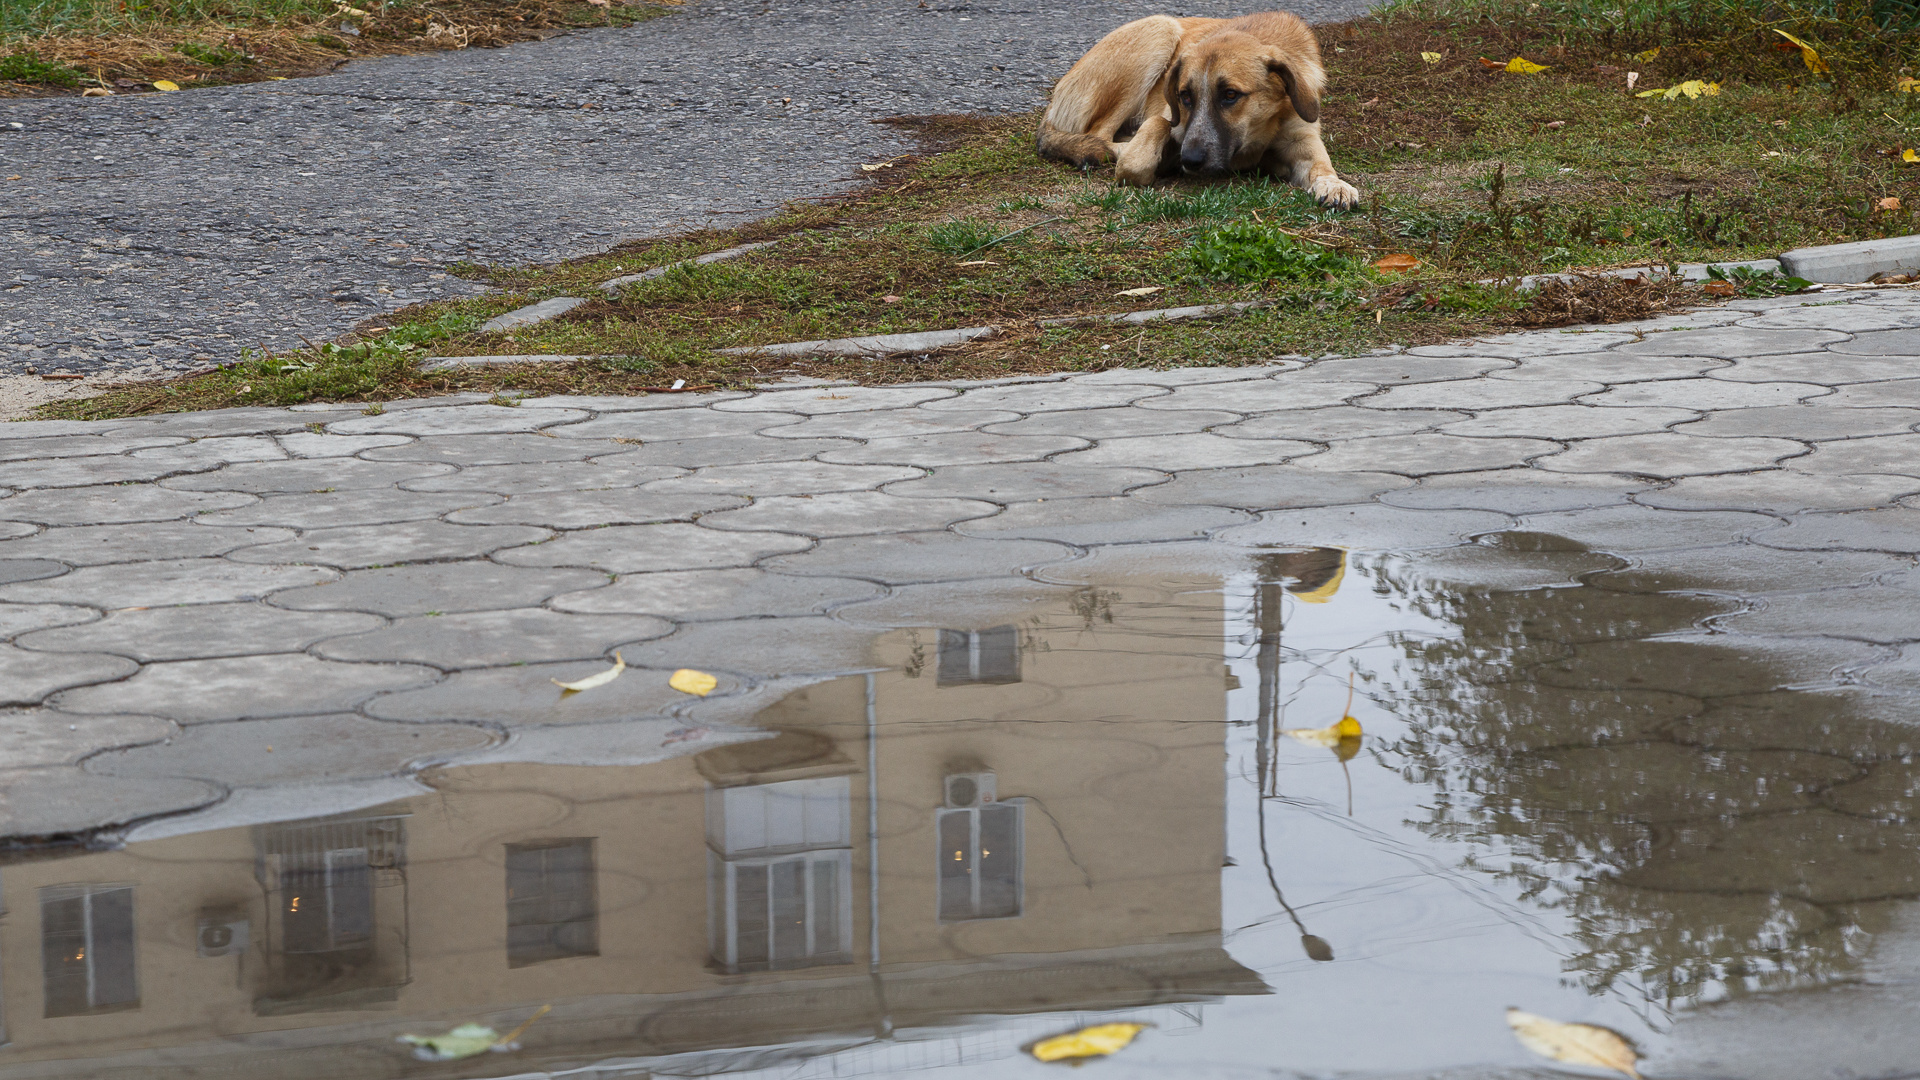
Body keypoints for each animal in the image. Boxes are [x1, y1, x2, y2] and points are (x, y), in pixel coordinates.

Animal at [1044, 9, 1359, 208]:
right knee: (1098, 134)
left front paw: (1334, 184)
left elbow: (1321, 166)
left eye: (1230, 95)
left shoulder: (1301, 137)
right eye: (1185, 96)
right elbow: (1156, 129)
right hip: (1161, 29)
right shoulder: (1174, 121)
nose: (1190, 160)